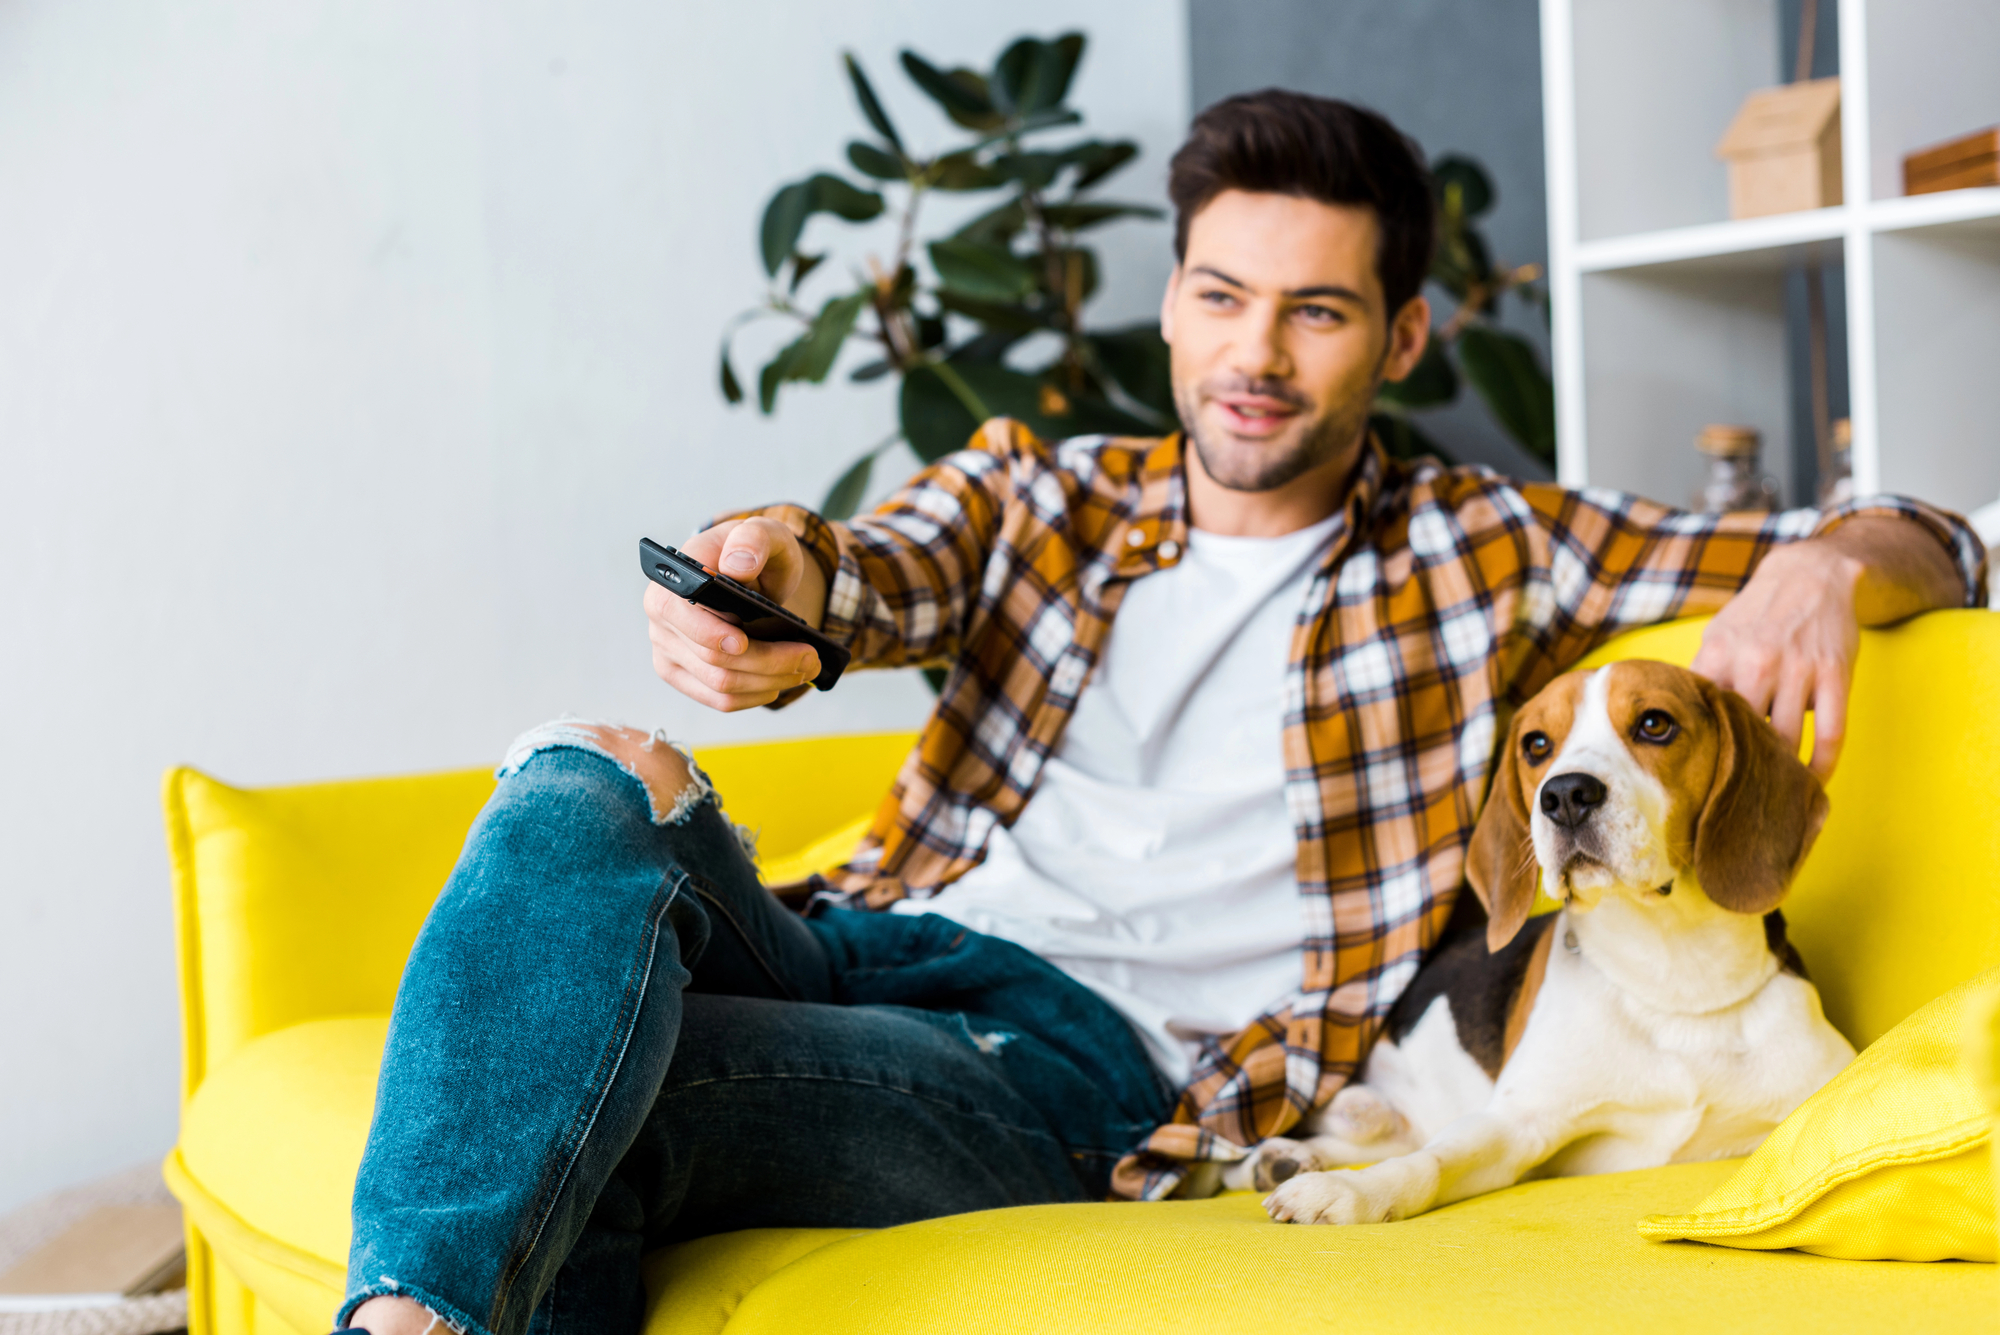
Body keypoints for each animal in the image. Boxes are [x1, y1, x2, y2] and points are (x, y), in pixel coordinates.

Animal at [1232, 663, 1856, 1223]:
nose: (1566, 794)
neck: (1673, 977)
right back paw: (1285, 1160)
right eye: (1536, 745)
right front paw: (1350, 1191)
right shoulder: (1518, 1123)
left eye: (1655, 724)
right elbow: (1432, 1162)